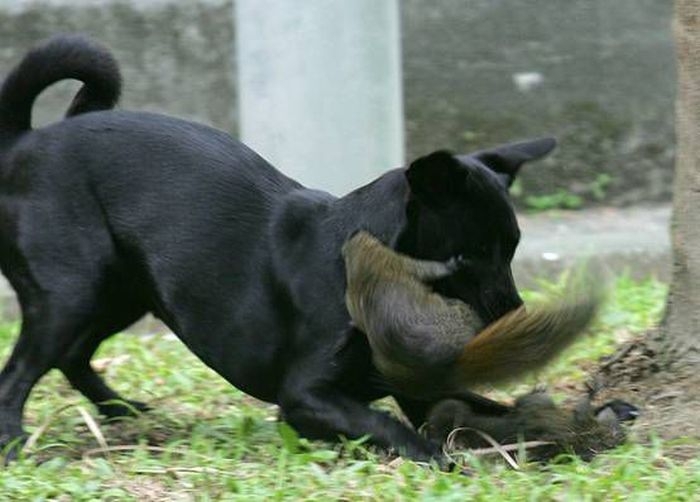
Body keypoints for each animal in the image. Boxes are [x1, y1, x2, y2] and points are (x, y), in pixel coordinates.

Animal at [1, 35, 556, 462]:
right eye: (465, 257)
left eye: (511, 249)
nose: (515, 312)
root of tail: (21, 142)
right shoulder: (306, 396)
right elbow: (387, 425)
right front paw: (437, 457)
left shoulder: (411, 384)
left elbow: (473, 405)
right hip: (71, 294)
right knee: (18, 376)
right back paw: (15, 445)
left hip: (121, 294)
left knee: (73, 356)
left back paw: (120, 410)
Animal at [342, 231, 604, 400]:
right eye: (372, 239)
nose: (355, 234)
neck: (367, 267)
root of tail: (449, 365)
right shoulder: (400, 265)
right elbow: (431, 269)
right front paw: (454, 263)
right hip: (459, 310)